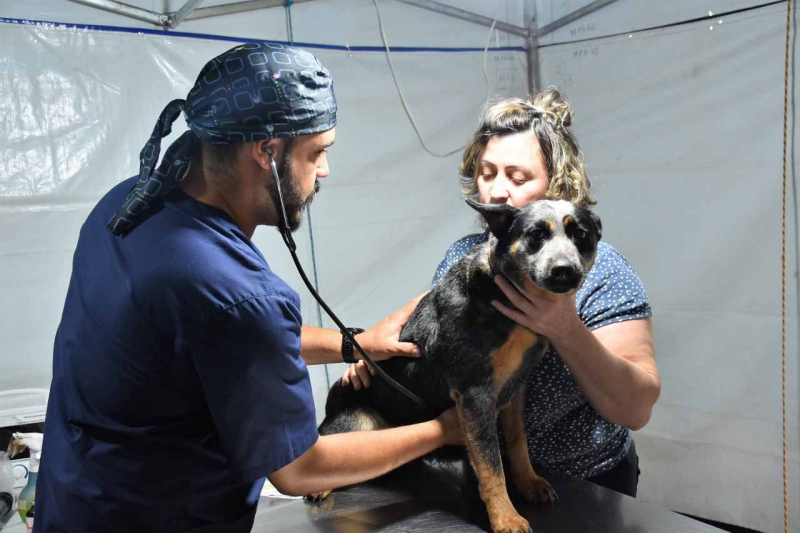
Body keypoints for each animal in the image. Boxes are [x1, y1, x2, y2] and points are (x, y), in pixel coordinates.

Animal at [312, 200, 600, 532]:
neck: (505, 298)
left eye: (581, 234)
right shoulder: (474, 393)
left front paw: (529, 482)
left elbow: (518, 442)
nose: (565, 271)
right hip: (356, 424)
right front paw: (505, 517)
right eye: (536, 234)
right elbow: (491, 466)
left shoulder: (516, 389)